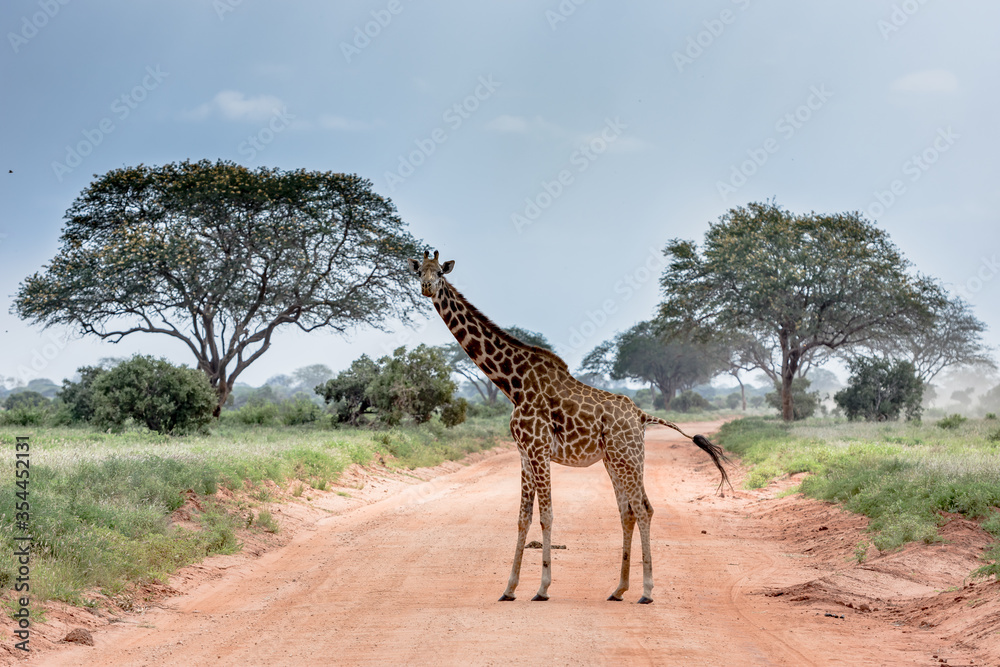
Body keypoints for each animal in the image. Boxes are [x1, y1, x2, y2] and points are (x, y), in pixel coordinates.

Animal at [409, 250, 731, 604]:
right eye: (419, 272)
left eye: (440, 273)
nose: (426, 287)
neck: (512, 383)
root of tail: (642, 416)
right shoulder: (523, 453)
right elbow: (522, 517)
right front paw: (509, 588)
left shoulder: (538, 449)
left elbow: (546, 515)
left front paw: (542, 588)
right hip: (616, 460)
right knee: (628, 512)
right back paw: (619, 588)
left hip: (627, 458)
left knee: (644, 508)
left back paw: (646, 591)